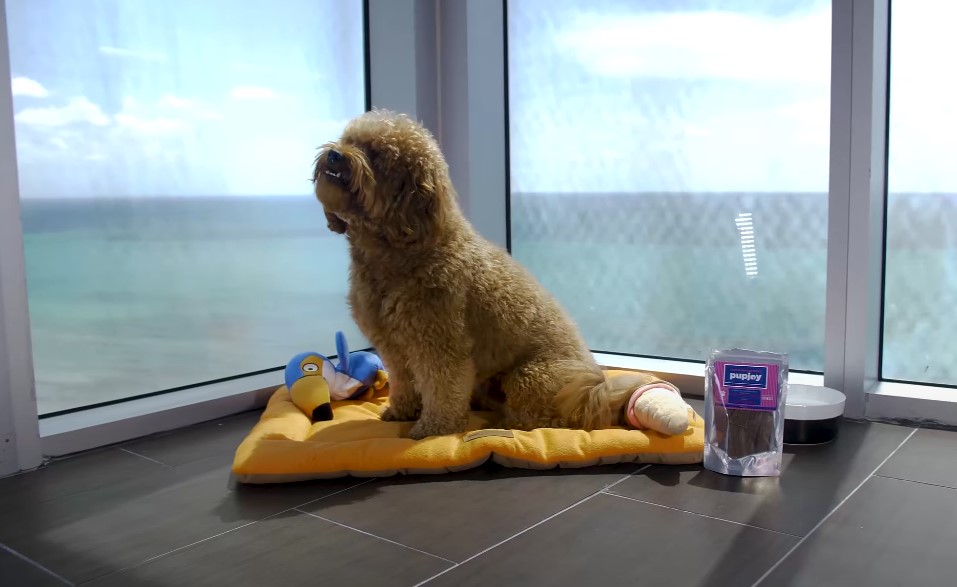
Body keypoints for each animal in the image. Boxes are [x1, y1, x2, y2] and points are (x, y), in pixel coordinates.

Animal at [310, 110, 648, 440]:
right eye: (348, 140)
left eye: (377, 154)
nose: (335, 155)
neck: (400, 248)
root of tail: (599, 395)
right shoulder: (393, 345)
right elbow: (403, 381)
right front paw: (402, 411)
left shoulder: (439, 342)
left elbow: (441, 388)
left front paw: (434, 428)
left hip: (531, 377)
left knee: (543, 421)